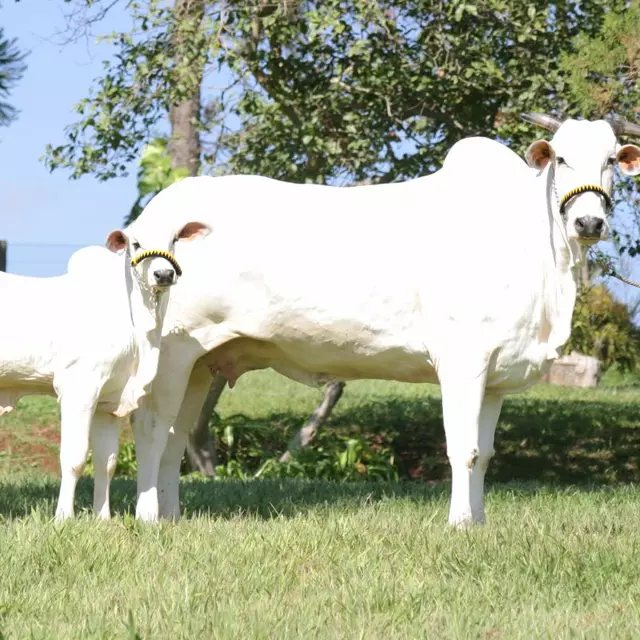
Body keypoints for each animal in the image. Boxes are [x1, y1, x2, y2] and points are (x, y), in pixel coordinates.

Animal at [0, 218, 205, 520]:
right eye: (136, 243)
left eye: (174, 240)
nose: (164, 274)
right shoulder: (79, 389)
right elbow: (74, 458)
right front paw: (63, 517)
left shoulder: (108, 400)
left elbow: (106, 461)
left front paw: (102, 517)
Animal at [123, 114, 640, 525]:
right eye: (562, 159)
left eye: (611, 160)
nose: (589, 223)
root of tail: (154, 213)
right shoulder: (463, 361)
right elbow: (463, 448)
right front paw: (459, 524)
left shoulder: (496, 374)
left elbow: (485, 454)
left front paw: (479, 521)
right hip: (169, 352)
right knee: (151, 430)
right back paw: (148, 517)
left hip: (199, 361)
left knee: (175, 437)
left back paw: (172, 515)